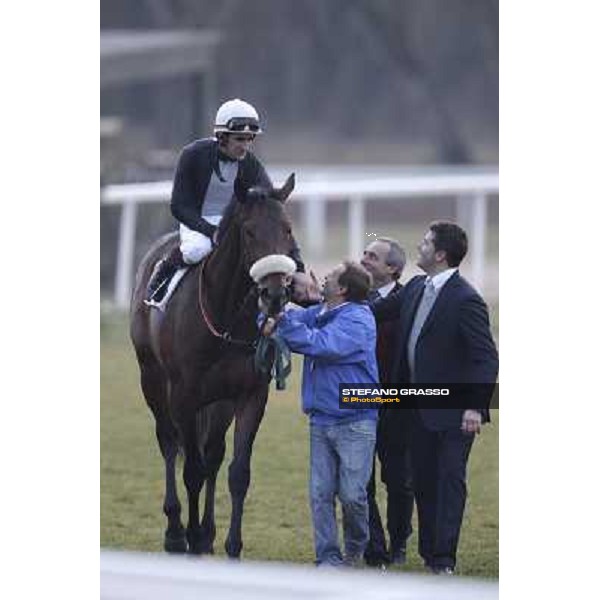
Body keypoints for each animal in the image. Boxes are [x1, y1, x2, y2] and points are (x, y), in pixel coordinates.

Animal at [130, 176, 296, 556]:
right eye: (249, 232)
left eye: (287, 229)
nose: (275, 295)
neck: (226, 317)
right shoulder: (184, 397)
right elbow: (190, 469)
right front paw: (188, 536)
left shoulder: (250, 394)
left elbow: (237, 472)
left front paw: (231, 545)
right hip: (153, 380)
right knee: (168, 442)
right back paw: (176, 532)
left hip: (219, 402)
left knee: (213, 455)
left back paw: (206, 534)